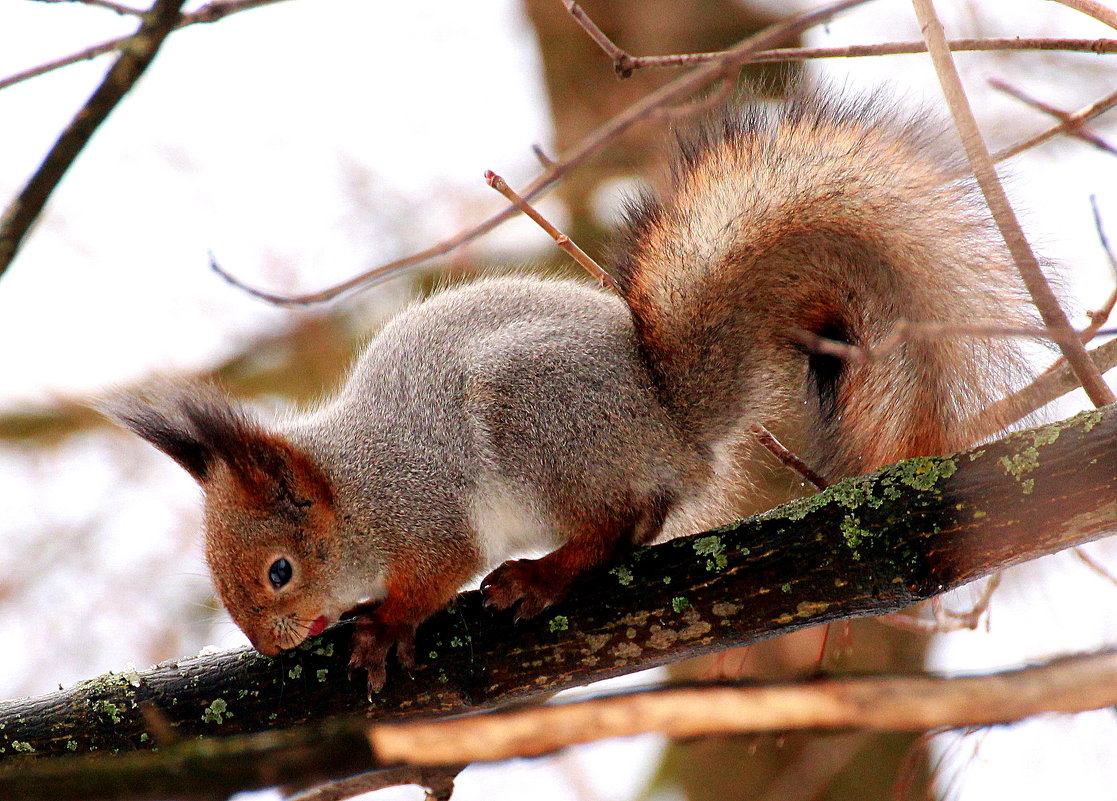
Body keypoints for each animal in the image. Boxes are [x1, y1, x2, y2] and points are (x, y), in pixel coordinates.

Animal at [102, 90, 1027, 692]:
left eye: (279, 571)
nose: (268, 647)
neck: (355, 489)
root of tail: (670, 420)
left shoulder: (425, 510)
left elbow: (438, 571)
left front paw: (387, 625)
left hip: (534, 421)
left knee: (613, 525)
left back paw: (541, 575)